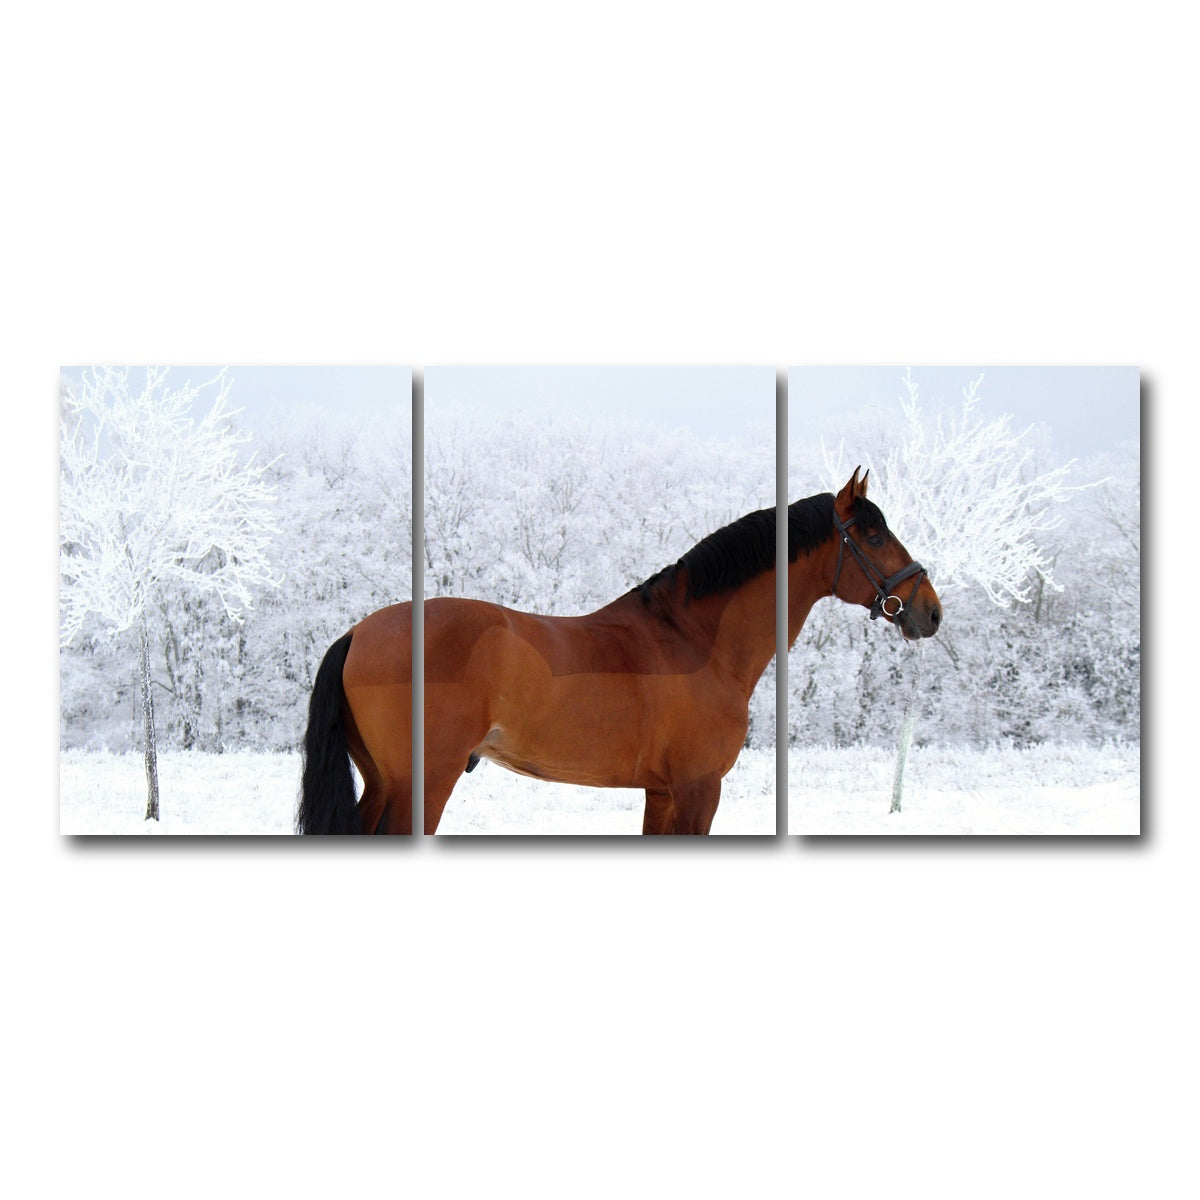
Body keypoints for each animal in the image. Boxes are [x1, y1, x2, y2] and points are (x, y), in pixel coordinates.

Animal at [297, 468, 941, 835]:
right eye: (874, 535)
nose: (930, 610)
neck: (694, 640)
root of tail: (358, 632)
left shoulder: (661, 792)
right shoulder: (698, 789)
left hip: (381, 782)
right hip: (420, 785)